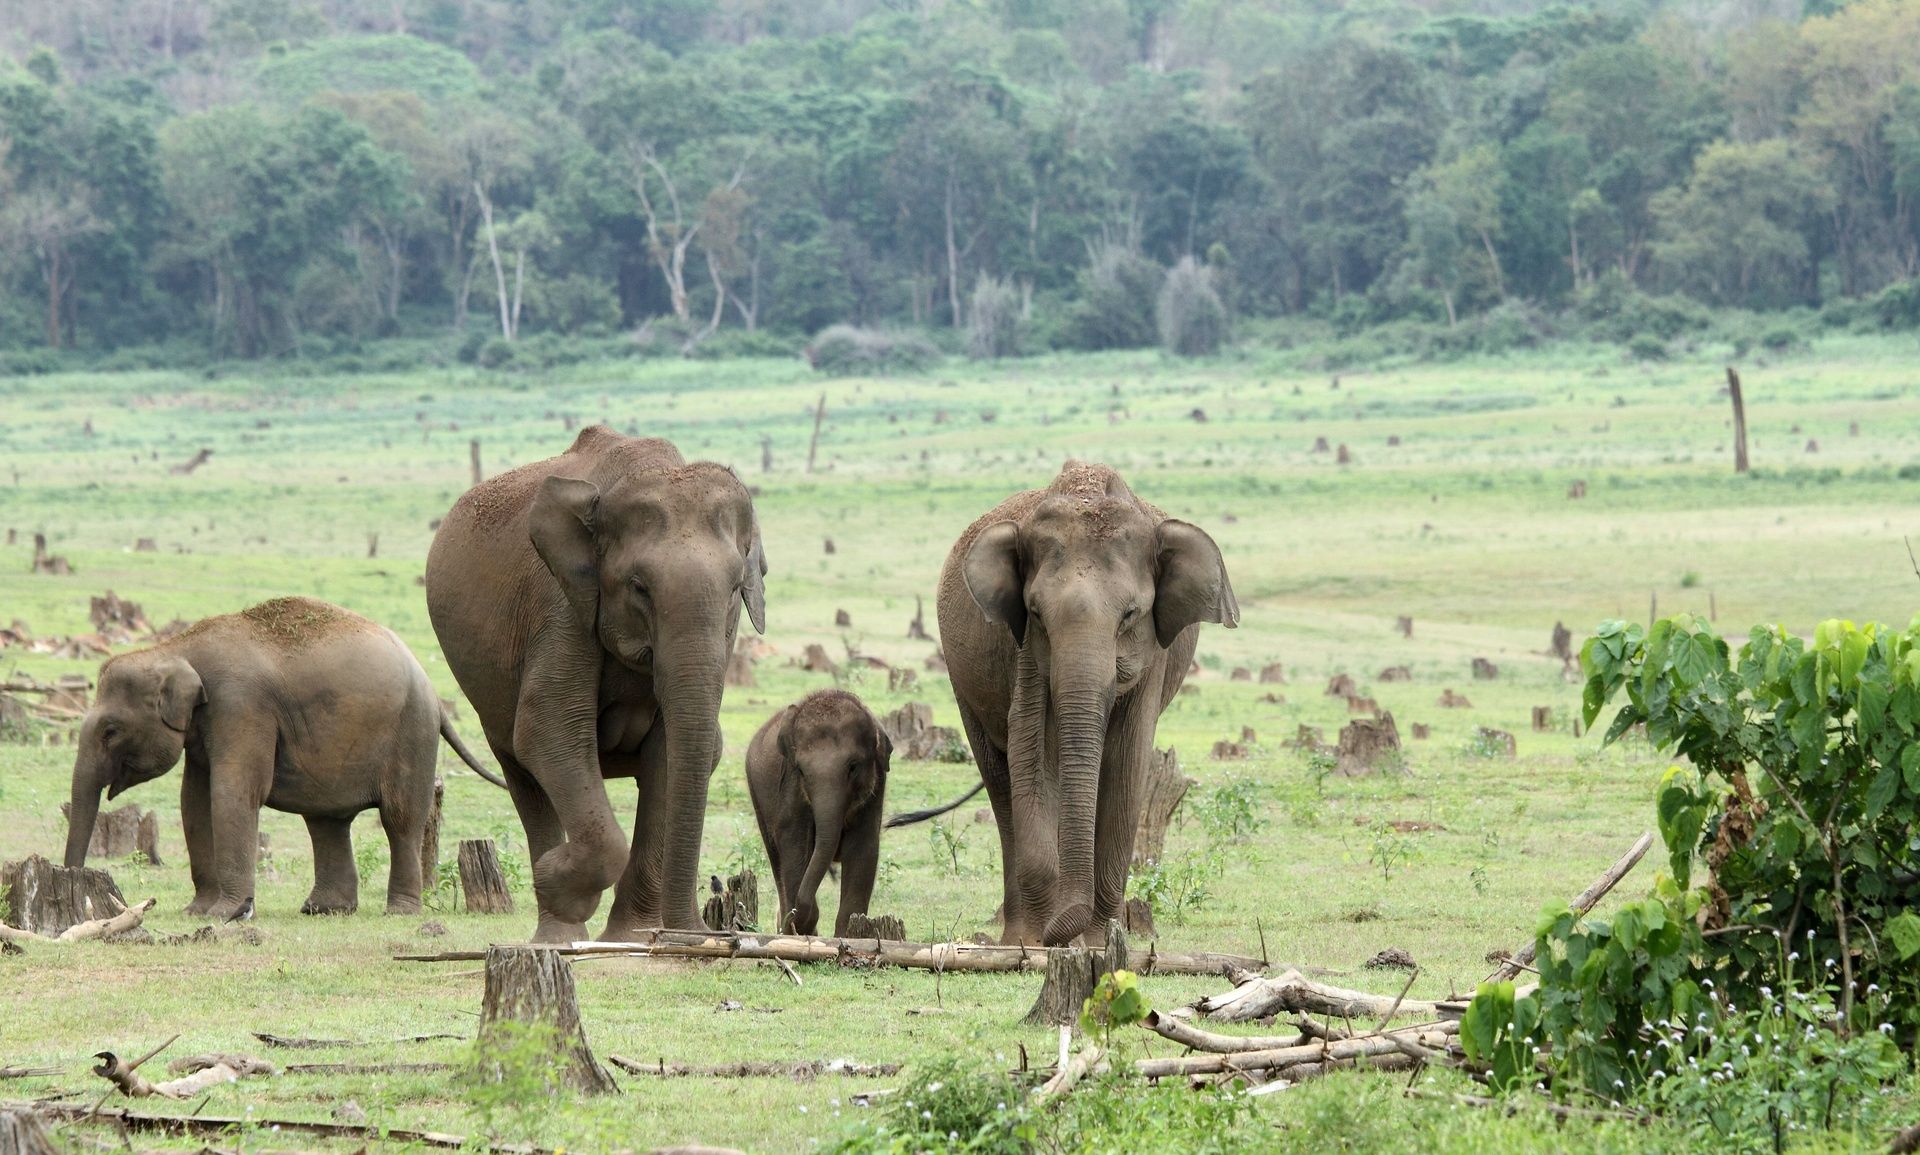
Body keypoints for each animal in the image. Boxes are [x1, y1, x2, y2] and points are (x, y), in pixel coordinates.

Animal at [64, 596, 505, 919]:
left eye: (110, 731)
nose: (77, 885)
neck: (177, 647)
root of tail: (434, 693)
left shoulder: (241, 705)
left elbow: (234, 793)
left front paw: (225, 914)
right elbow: (193, 800)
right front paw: (196, 912)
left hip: (412, 734)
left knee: (399, 819)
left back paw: (399, 912)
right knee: (327, 821)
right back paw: (323, 910)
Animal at [425, 426, 766, 943]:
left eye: (734, 590)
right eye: (639, 586)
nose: (696, 935)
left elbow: (678, 751)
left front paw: (633, 940)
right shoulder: (561, 604)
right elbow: (549, 731)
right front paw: (556, 877)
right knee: (522, 773)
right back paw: (557, 934)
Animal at [744, 691, 891, 936]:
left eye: (853, 767)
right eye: (801, 770)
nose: (792, 917)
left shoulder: (876, 788)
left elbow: (863, 848)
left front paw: (848, 935)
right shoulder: (790, 789)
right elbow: (795, 844)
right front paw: (802, 926)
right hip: (757, 795)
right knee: (776, 858)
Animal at [934, 462, 1238, 946]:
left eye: (1130, 614)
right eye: (1036, 613)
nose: (1059, 934)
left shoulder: (1153, 654)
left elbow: (1126, 761)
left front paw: (1097, 943)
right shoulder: (1024, 648)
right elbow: (1031, 749)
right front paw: (1040, 942)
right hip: (963, 686)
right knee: (1000, 781)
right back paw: (1017, 938)